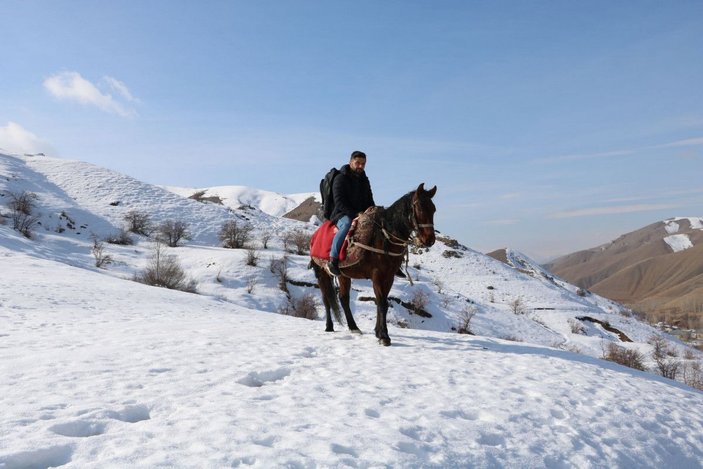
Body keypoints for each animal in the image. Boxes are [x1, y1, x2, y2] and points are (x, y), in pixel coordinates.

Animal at [312, 183, 438, 344]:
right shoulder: (377, 275)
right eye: (420, 208)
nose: (429, 240)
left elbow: (382, 302)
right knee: (327, 299)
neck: (384, 236)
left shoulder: (389, 276)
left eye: (433, 209)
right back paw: (329, 326)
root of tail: (314, 237)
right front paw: (384, 336)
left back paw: (354, 327)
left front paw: (378, 332)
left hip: (343, 275)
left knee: (343, 298)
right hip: (321, 273)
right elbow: (382, 303)